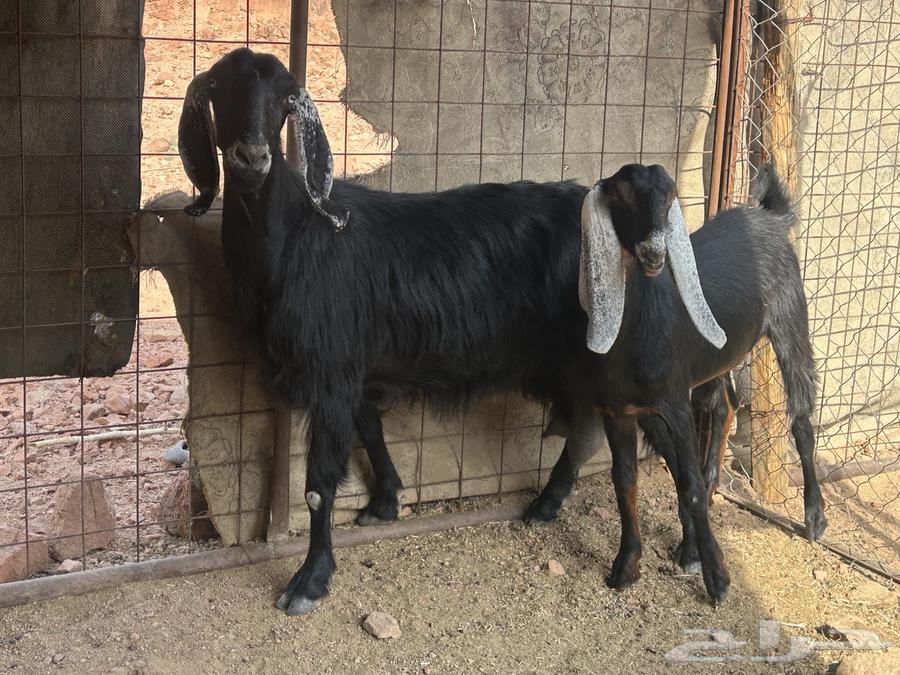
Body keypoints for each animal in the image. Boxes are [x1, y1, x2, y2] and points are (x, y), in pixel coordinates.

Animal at [177, 48, 737, 615]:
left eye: (284, 100)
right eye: (219, 88)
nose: (251, 159)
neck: (297, 236)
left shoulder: (332, 370)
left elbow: (317, 485)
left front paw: (309, 581)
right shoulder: (358, 365)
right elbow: (370, 428)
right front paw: (386, 500)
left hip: (629, 362)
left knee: (678, 442)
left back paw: (696, 557)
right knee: (588, 431)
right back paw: (549, 505)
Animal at [548, 162, 827, 603]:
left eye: (670, 197)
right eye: (620, 194)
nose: (654, 252)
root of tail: (770, 217)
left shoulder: (674, 404)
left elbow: (688, 483)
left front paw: (717, 579)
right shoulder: (618, 411)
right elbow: (626, 481)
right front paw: (626, 566)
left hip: (790, 319)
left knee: (800, 418)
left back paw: (814, 518)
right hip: (716, 358)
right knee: (725, 404)